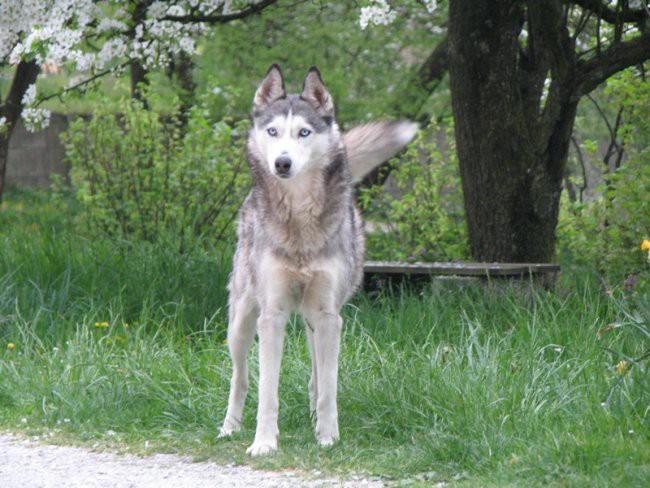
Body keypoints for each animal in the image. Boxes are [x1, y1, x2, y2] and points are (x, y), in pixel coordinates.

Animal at [218, 65, 416, 458]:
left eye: (304, 132)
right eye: (273, 131)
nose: (282, 162)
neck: (298, 218)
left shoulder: (328, 317)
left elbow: (329, 385)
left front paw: (328, 436)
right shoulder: (272, 317)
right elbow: (267, 391)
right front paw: (264, 442)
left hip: (315, 319)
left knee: (315, 373)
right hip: (242, 323)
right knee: (240, 378)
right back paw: (230, 427)